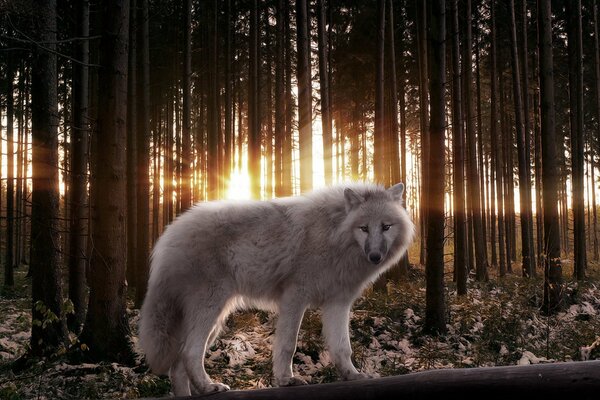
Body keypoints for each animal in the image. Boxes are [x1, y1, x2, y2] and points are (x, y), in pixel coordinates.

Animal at [138, 183, 414, 396]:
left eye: (386, 227)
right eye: (364, 228)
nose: (375, 256)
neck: (333, 234)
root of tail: (169, 234)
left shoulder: (338, 303)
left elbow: (342, 348)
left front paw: (353, 375)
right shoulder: (295, 297)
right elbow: (288, 345)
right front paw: (286, 380)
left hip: (215, 319)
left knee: (177, 366)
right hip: (211, 309)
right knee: (190, 352)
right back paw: (209, 387)